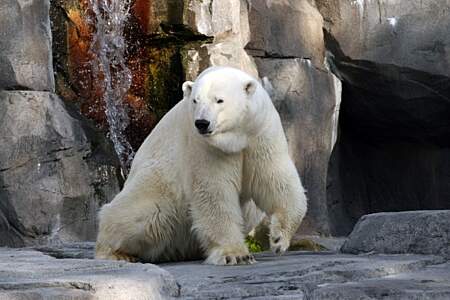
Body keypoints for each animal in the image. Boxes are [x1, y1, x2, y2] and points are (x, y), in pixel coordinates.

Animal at [94, 66, 306, 264]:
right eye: (195, 101)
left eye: (219, 100)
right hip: (156, 187)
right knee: (145, 216)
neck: (235, 137)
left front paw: (279, 240)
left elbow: (275, 181)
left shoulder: (261, 132)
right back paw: (116, 253)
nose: (202, 123)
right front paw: (235, 254)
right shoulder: (203, 146)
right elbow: (214, 192)